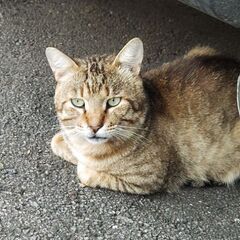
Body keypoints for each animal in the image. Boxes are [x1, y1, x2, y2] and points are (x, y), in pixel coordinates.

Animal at [45, 38, 240, 195]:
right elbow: (57, 141)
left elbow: (85, 172)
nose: (94, 127)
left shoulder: (148, 178)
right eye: (78, 102)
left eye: (113, 101)